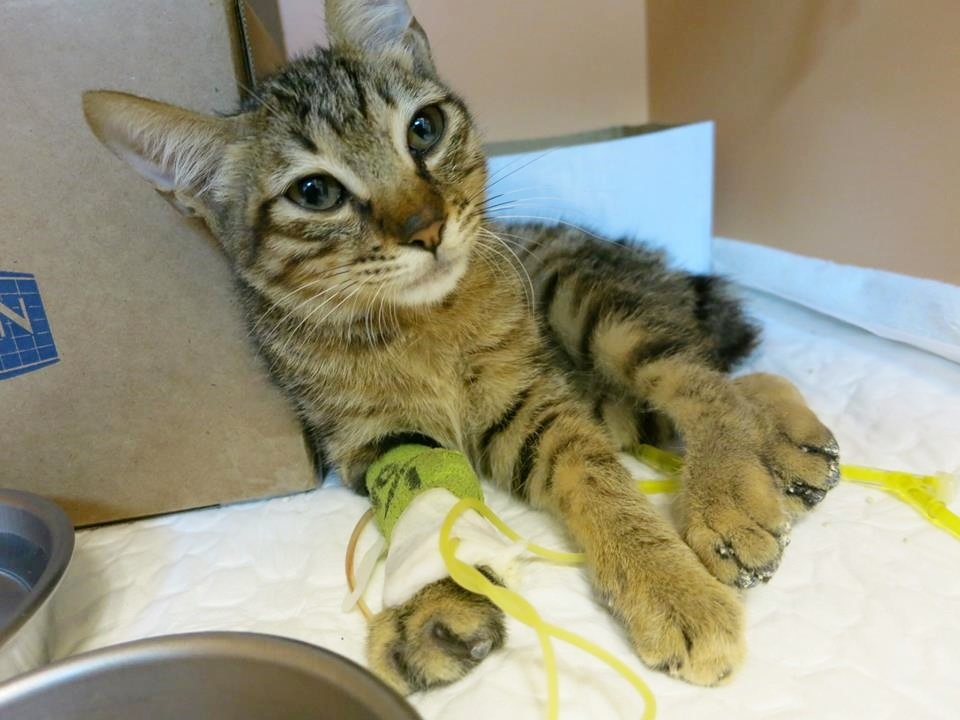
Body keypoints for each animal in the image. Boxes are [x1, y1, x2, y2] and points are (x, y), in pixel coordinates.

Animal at [82, 0, 839, 696]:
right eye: (315, 192)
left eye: (424, 128)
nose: (425, 227)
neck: (418, 325)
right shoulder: (379, 441)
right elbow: (429, 494)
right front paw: (434, 601)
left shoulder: (531, 403)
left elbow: (597, 481)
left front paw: (669, 587)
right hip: (609, 390)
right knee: (730, 377)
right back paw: (793, 448)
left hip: (586, 300)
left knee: (697, 374)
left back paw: (729, 496)